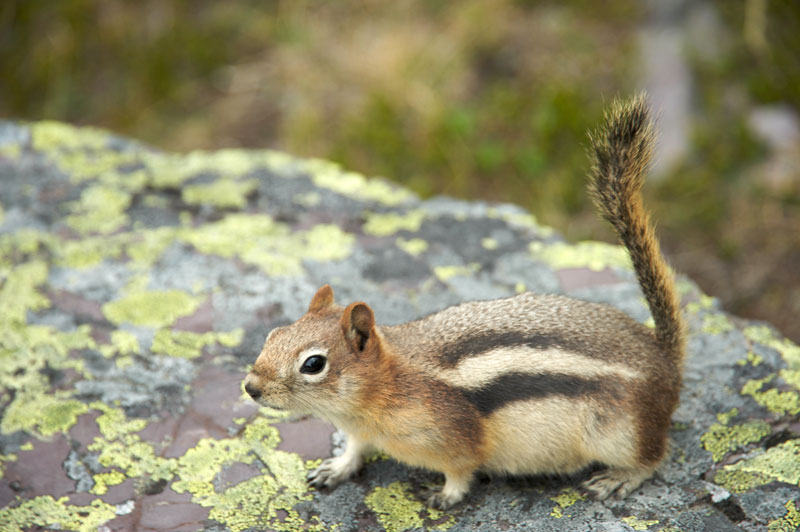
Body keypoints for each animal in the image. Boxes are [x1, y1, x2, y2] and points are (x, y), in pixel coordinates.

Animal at [241, 93, 684, 510]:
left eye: (313, 364)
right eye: (273, 334)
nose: (250, 387)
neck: (383, 388)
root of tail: (663, 357)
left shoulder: (454, 438)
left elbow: (461, 470)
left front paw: (444, 495)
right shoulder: (359, 431)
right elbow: (355, 449)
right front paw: (336, 467)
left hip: (620, 432)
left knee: (653, 457)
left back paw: (618, 478)